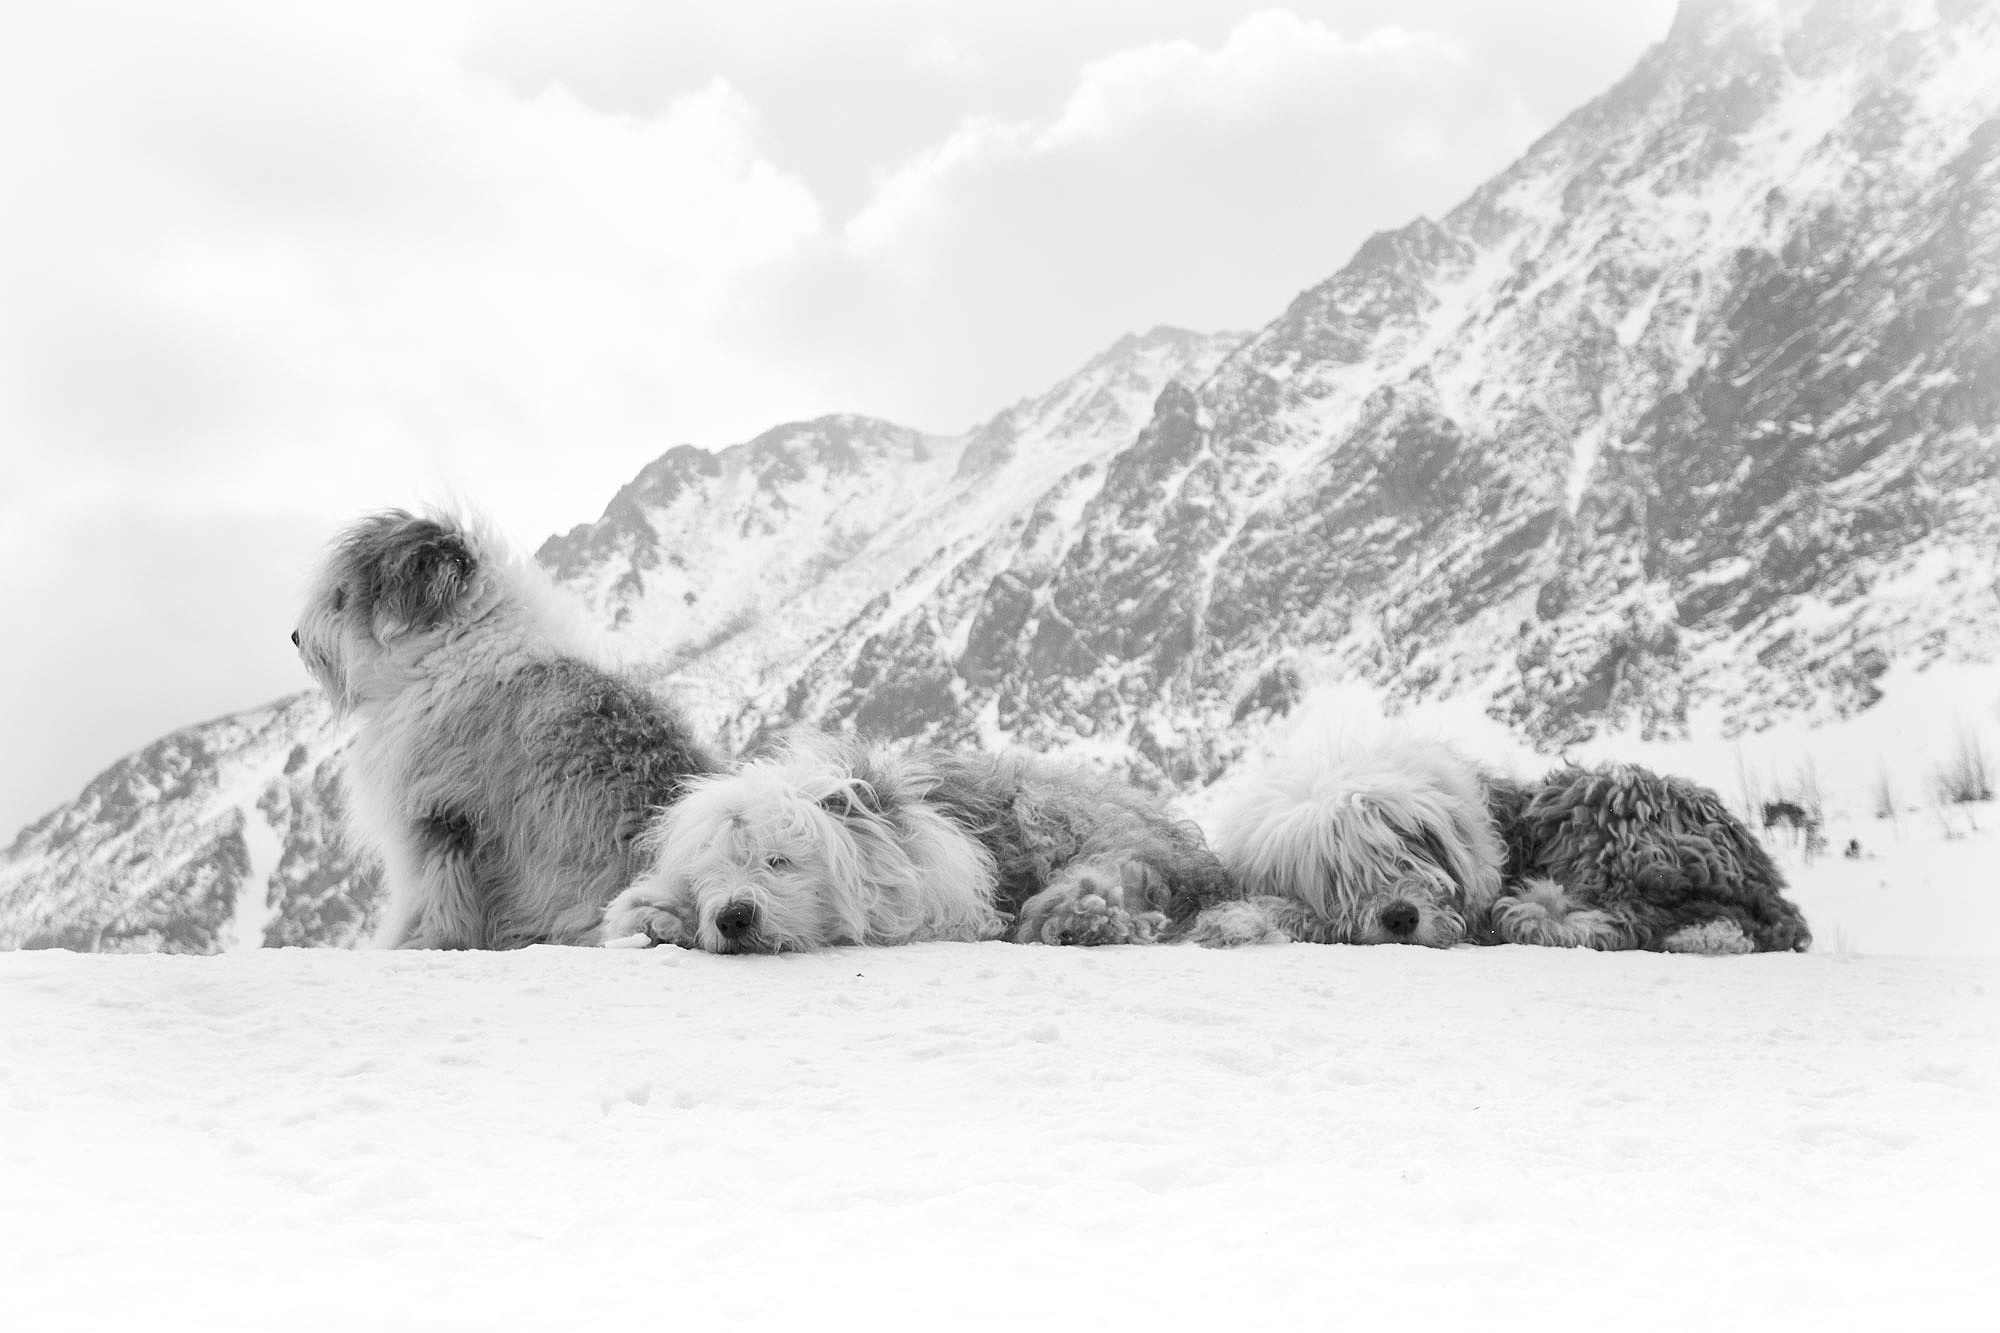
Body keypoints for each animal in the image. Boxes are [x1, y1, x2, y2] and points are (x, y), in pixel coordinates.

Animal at [290, 506, 712, 944]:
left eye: (340, 596)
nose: (296, 637)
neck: (451, 649)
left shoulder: (433, 822)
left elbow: (429, 900)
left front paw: (412, 943)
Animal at [600, 732, 1240, 948]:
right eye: (707, 876)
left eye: (779, 861)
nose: (732, 918)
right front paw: (655, 915)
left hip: (1091, 836)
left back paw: (1078, 917)